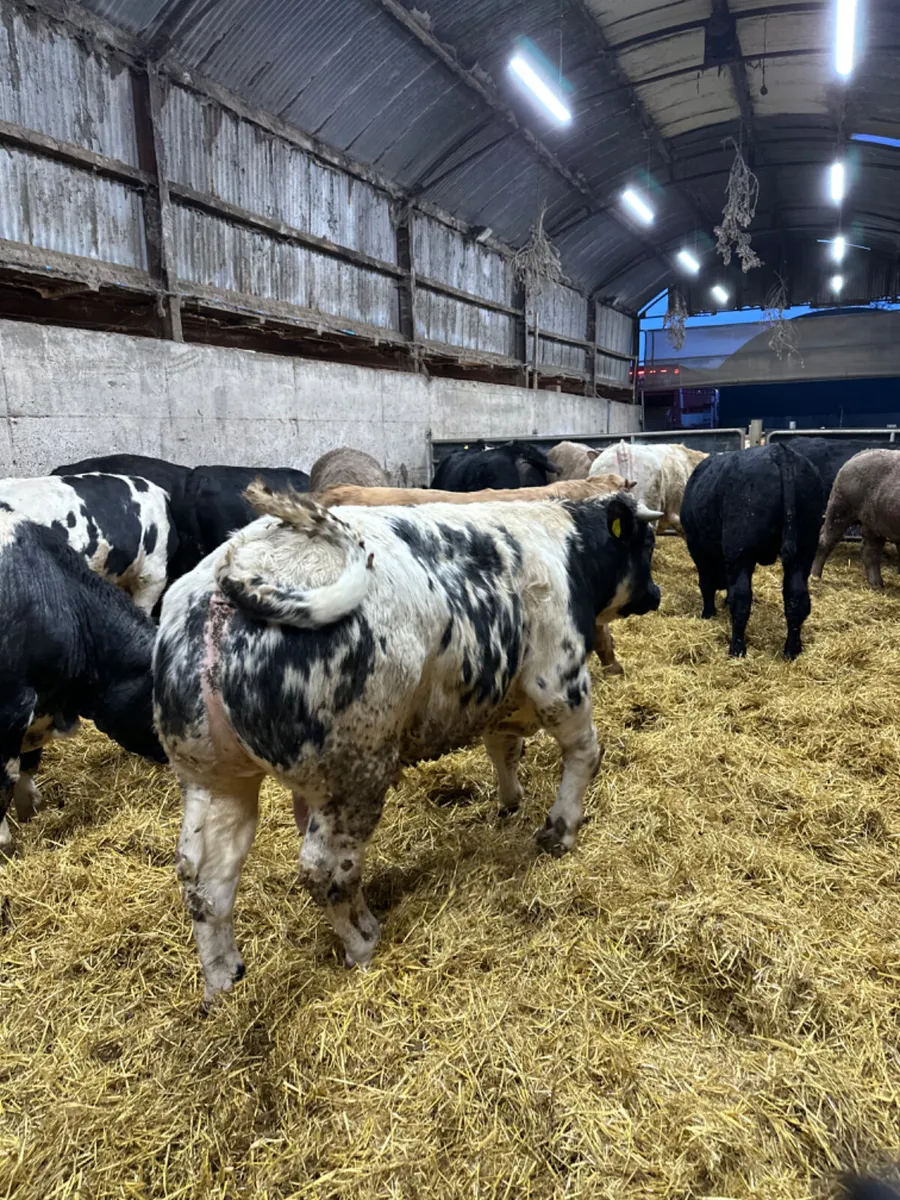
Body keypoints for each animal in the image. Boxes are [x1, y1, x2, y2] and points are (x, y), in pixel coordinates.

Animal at [681, 444, 825, 658]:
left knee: (741, 599)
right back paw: (792, 650)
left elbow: (705, 583)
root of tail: (780, 451)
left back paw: (736, 649)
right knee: (797, 598)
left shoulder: (697, 548)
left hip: (741, 553)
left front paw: (708, 613)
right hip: (804, 550)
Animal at [811, 449, 900, 588]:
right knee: (825, 540)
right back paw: (815, 576)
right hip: (839, 510)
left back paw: (877, 584)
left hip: (874, 525)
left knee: (870, 552)